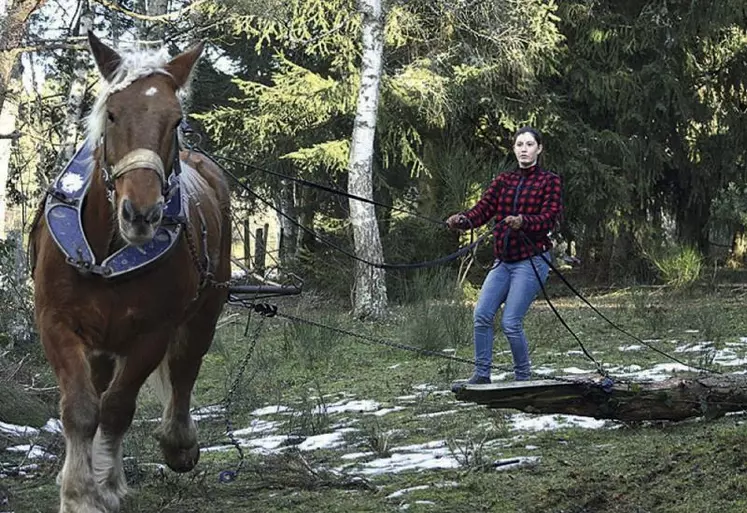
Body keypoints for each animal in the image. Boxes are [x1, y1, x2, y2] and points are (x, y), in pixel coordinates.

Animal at [28, 33, 231, 512]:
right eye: (113, 113)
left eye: (176, 121)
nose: (141, 213)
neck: (107, 252)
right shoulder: (55, 323)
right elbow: (82, 408)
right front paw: (79, 492)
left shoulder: (152, 333)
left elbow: (118, 407)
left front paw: (103, 485)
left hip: (206, 310)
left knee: (185, 367)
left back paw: (177, 442)